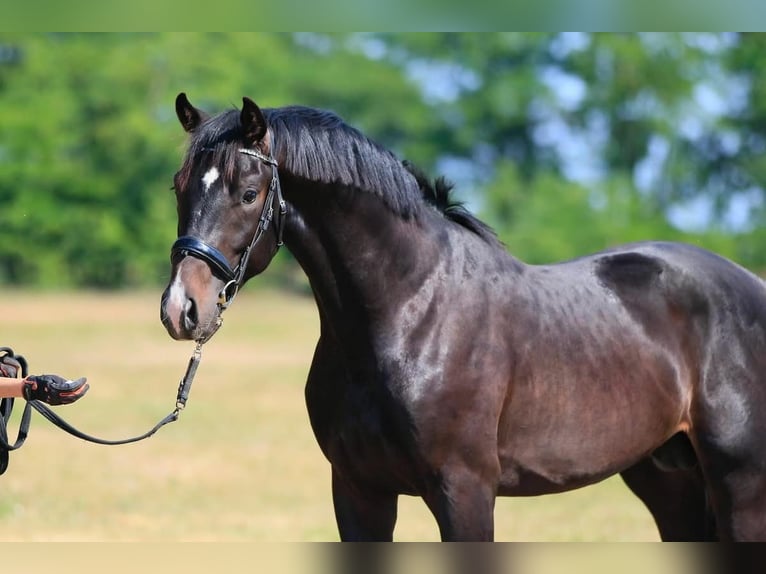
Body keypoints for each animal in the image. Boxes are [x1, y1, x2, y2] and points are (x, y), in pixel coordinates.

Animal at [160, 92, 766, 541]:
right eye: (179, 187)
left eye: (248, 193)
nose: (181, 309)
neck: (410, 312)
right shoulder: (357, 490)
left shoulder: (465, 492)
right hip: (668, 481)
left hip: (739, 485)